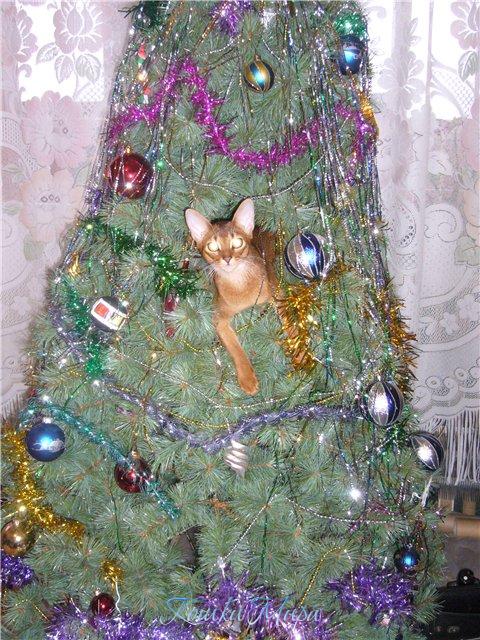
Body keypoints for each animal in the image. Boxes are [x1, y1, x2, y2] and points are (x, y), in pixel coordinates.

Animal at [185, 198, 279, 395]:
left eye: (237, 243)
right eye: (213, 246)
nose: (227, 259)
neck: (239, 284)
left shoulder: (276, 291)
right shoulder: (219, 319)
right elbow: (236, 349)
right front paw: (248, 379)